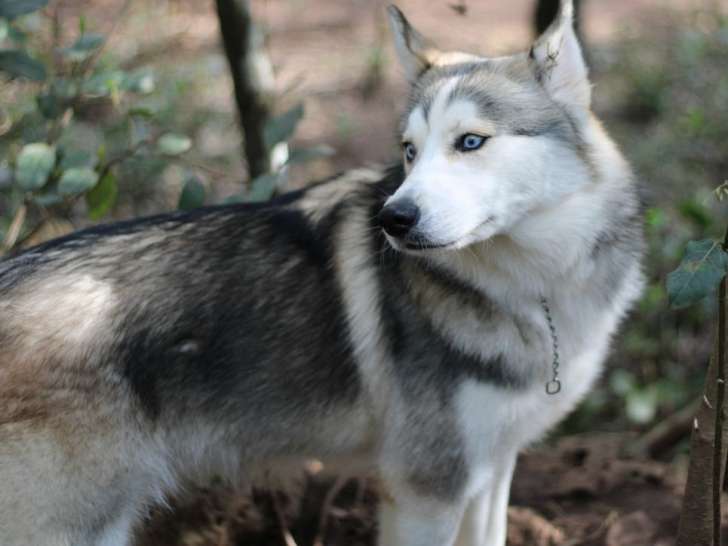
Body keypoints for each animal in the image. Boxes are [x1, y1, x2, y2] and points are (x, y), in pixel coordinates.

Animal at [0, 2, 644, 545]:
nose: (393, 219)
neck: (537, 292)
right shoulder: (425, 492)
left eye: (470, 142)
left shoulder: (491, 470)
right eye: (410, 150)